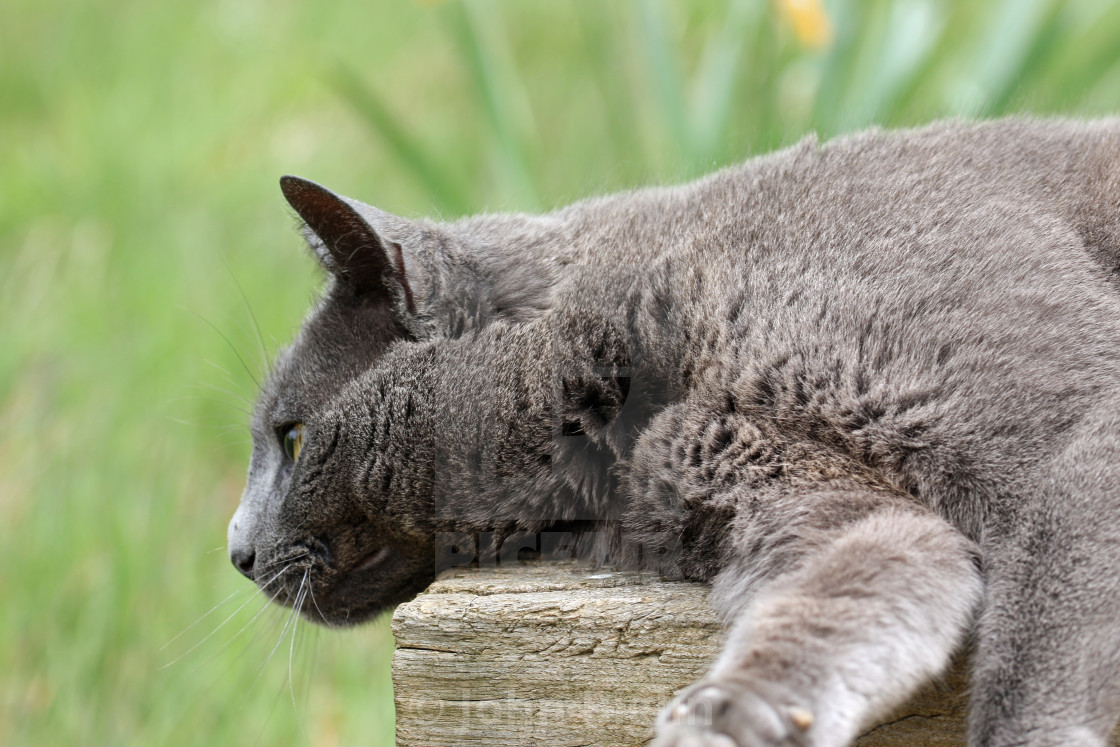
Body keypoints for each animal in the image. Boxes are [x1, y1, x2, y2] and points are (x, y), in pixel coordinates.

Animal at [227, 119, 1120, 743]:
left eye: (292, 438)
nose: (234, 549)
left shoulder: (1065, 432)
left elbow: (1039, 641)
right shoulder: (797, 494)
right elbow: (860, 577)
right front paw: (732, 719)